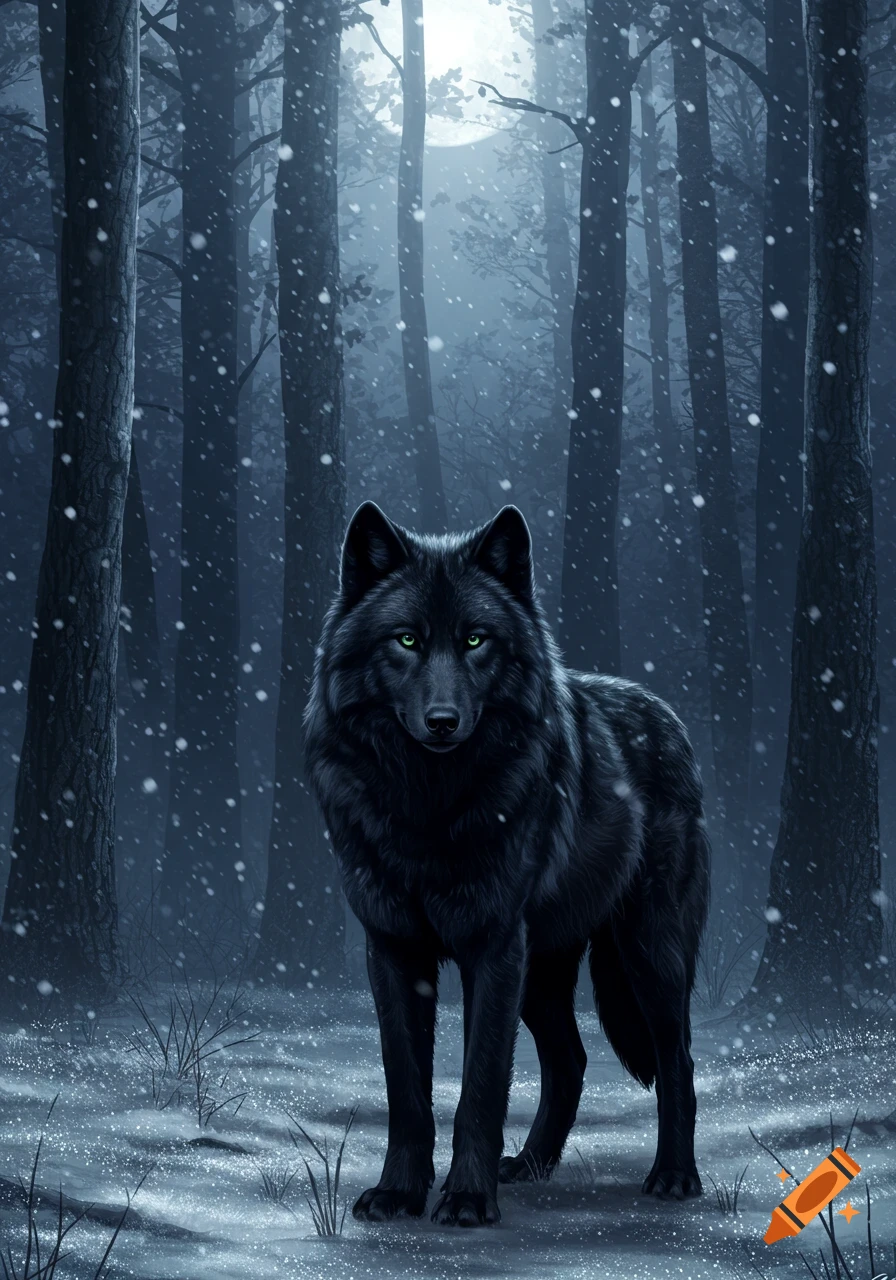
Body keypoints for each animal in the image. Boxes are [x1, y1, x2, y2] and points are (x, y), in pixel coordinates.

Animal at [304, 501, 710, 1227]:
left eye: (475, 641)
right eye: (406, 641)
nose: (442, 721)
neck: (430, 808)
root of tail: (669, 716)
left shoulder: (493, 948)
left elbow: (481, 1085)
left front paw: (466, 1200)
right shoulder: (393, 950)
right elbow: (406, 1089)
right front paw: (399, 1193)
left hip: (647, 955)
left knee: (678, 1061)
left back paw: (673, 1176)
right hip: (544, 971)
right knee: (572, 1059)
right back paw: (529, 1165)